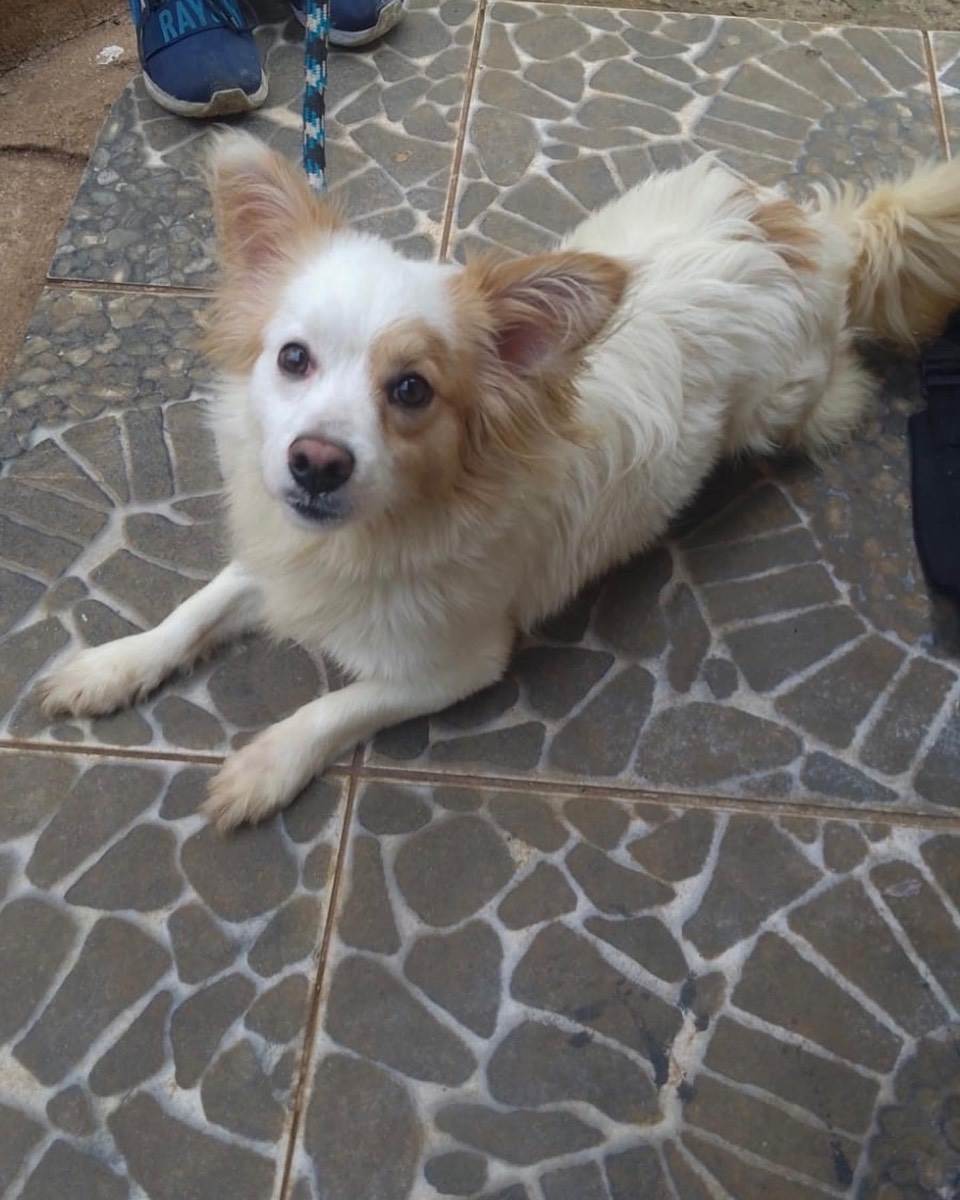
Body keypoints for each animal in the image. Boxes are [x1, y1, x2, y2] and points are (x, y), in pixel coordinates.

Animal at [41, 132, 960, 830]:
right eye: (292, 359)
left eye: (412, 390)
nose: (316, 462)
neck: (371, 534)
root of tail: (812, 234)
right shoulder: (275, 555)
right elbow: (195, 609)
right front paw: (113, 665)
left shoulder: (458, 664)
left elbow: (335, 708)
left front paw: (264, 766)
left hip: (788, 404)